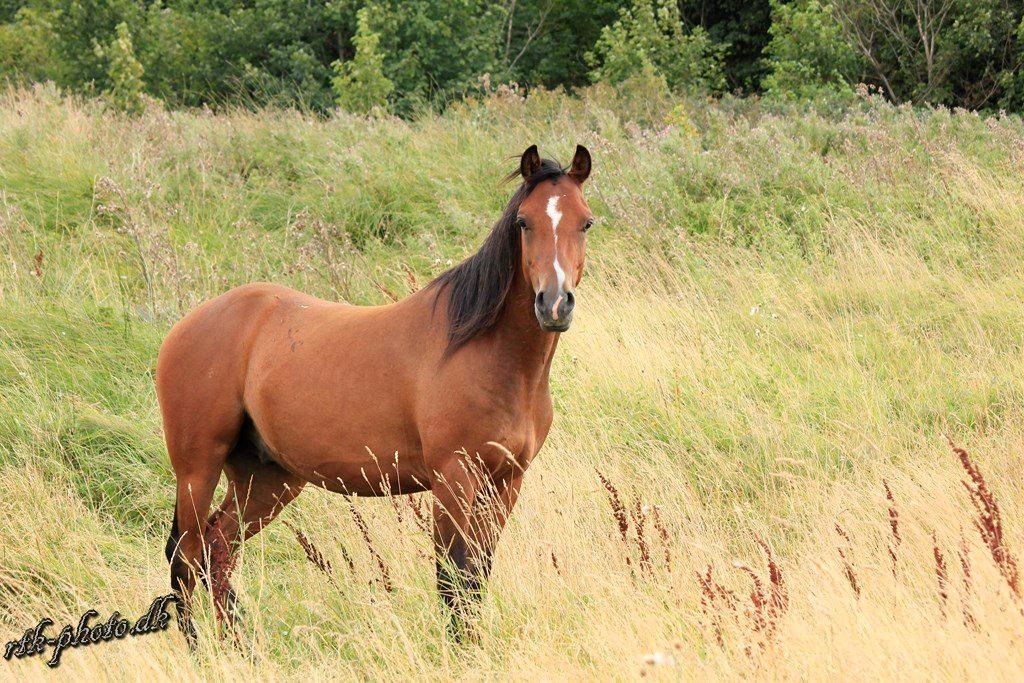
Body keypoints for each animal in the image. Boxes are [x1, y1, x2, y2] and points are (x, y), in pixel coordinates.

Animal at [156, 143, 594, 641]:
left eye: (585, 222)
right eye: (524, 221)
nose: (554, 304)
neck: (488, 354)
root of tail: (186, 326)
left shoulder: (505, 483)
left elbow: (477, 577)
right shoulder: (453, 479)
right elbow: (453, 579)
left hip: (266, 480)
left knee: (217, 547)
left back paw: (240, 646)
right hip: (197, 469)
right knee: (185, 556)